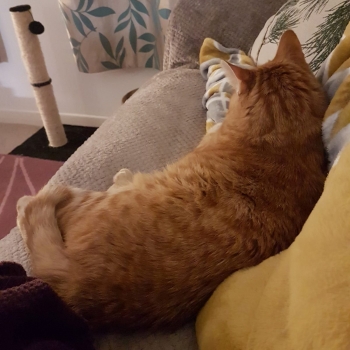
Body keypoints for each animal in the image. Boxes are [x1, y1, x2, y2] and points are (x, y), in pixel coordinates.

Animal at [16, 31, 328, 332]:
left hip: (92, 201)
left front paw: (121, 175)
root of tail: (76, 287)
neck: (281, 141)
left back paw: (34, 196)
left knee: (37, 209)